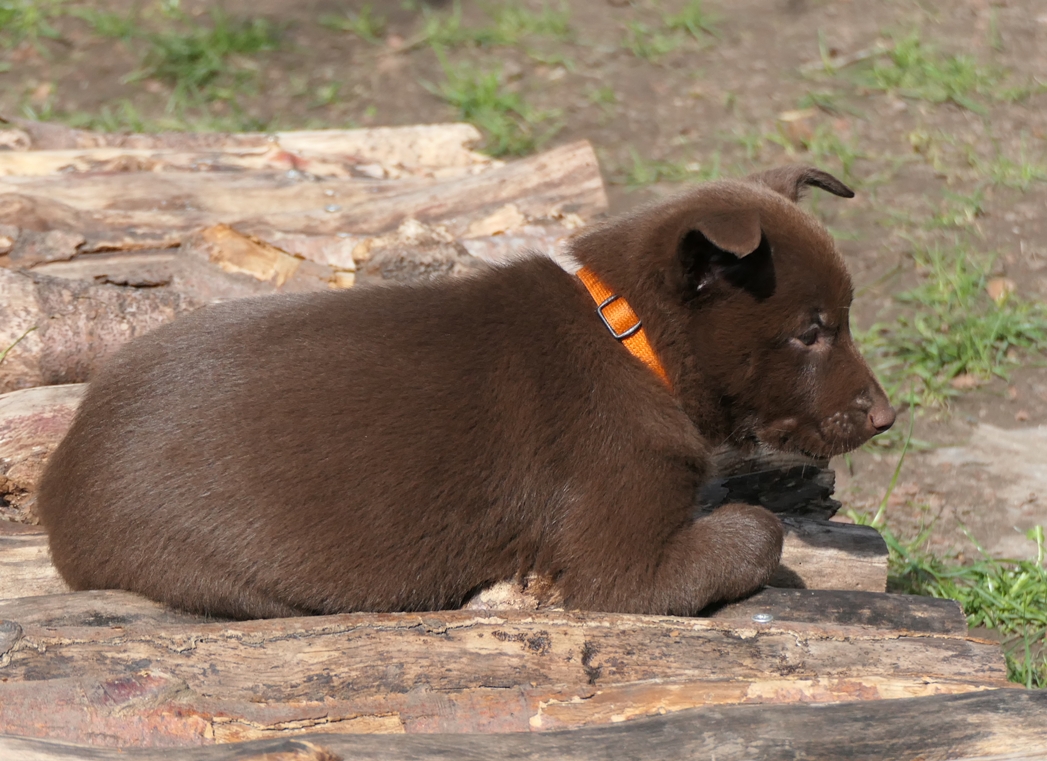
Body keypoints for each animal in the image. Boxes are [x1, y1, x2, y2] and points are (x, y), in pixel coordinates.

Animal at [37, 165, 894, 619]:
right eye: (811, 331)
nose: (888, 416)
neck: (631, 336)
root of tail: (58, 474)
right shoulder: (621, 563)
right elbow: (756, 530)